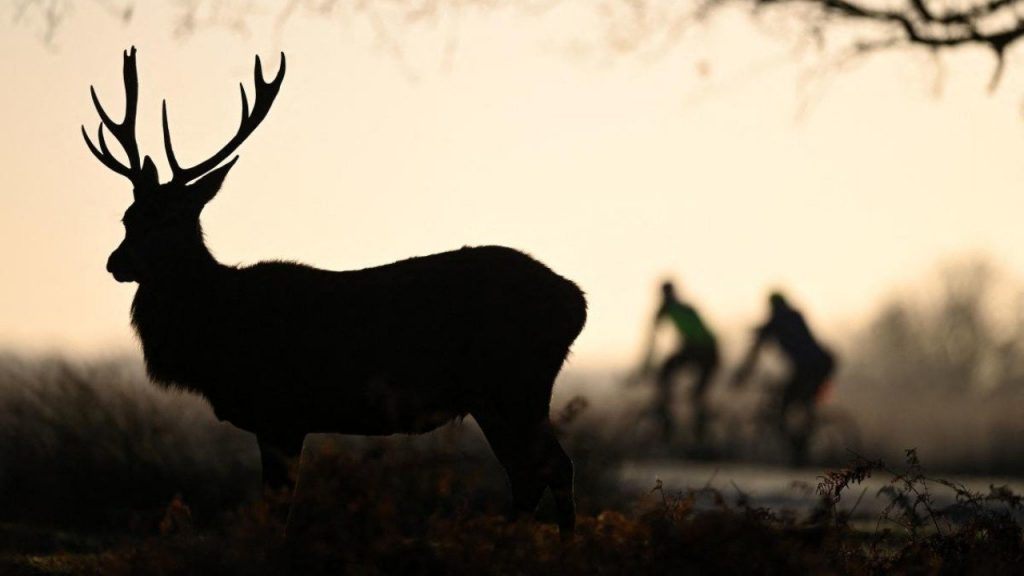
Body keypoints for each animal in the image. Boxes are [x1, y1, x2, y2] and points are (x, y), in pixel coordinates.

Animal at [82, 47, 587, 535]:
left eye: (169, 219)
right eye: (128, 217)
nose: (115, 263)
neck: (218, 332)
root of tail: (577, 302)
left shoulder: (281, 412)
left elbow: (277, 514)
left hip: (514, 385)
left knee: (551, 468)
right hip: (501, 394)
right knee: (531, 474)